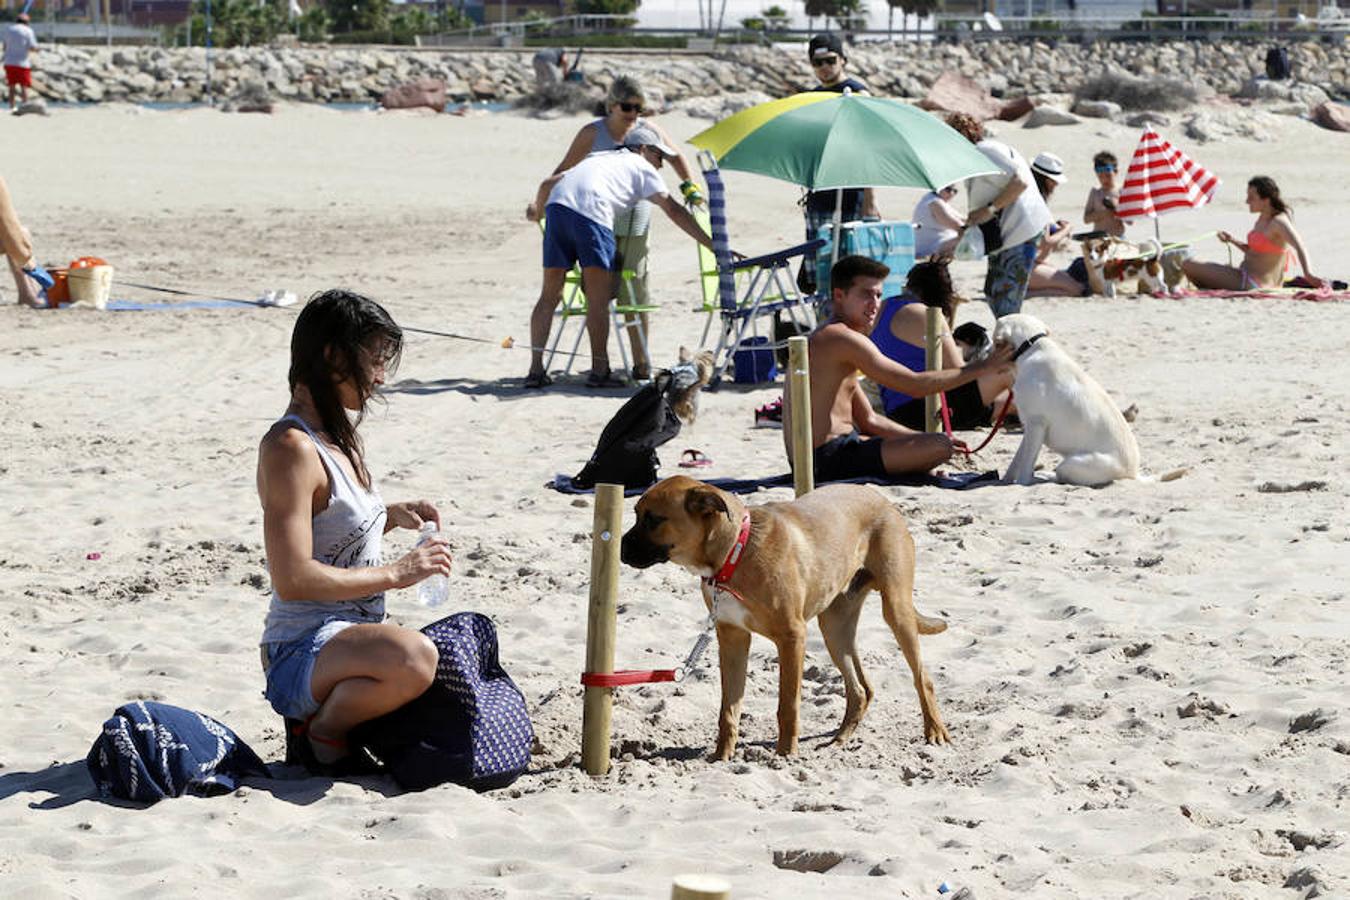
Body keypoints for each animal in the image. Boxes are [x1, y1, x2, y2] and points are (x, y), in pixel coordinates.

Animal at [621, 477, 950, 761]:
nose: (620, 548)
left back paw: (934, 731)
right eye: (636, 514)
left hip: (896, 610)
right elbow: (729, 709)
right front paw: (721, 756)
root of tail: (883, 500)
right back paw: (840, 740)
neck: (735, 554)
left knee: (922, 677)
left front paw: (785, 755)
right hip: (834, 627)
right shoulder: (732, 638)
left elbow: (787, 706)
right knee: (860, 689)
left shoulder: (792, 637)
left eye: (653, 519)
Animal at [993, 315, 1139, 488]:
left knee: (1060, 477)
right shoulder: (1029, 427)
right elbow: (1016, 460)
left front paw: (1021, 483)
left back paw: (1044, 476)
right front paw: (1005, 480)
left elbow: (1025, 467)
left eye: (994, 341)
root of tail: (1133, 475)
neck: (1032, 347)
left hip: (1069, 465)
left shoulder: (1036, 424)